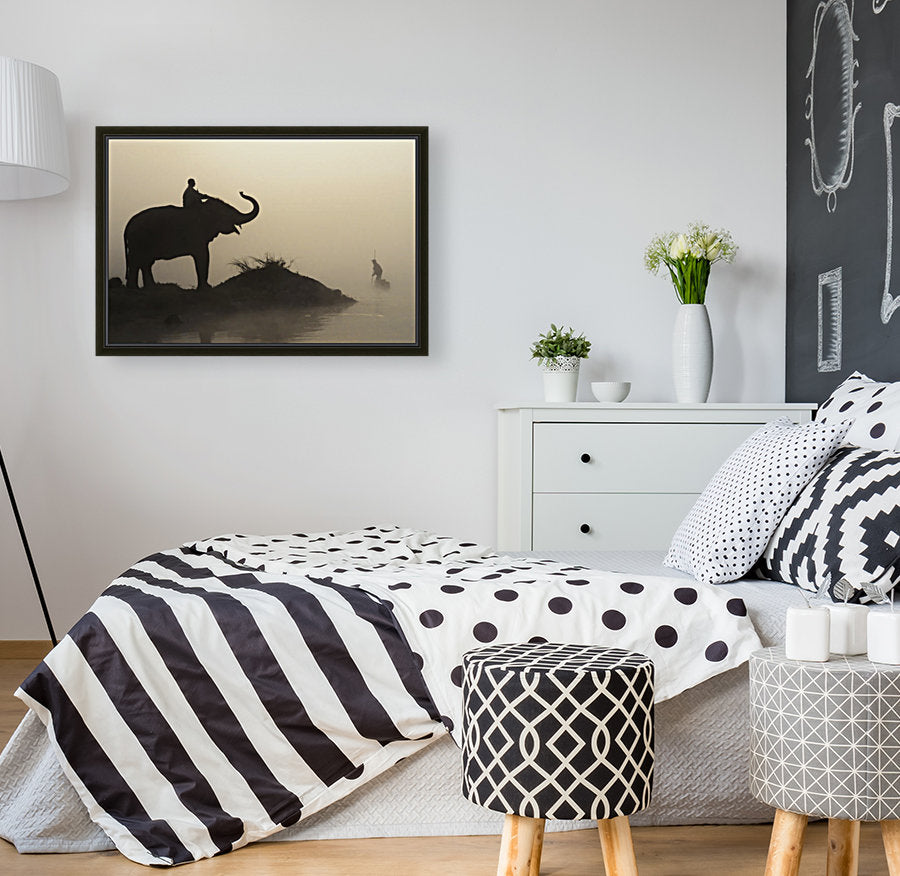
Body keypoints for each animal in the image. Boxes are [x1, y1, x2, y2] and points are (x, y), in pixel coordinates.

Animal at [123, 190, 258, 290]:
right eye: (225, 212)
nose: (241, 192)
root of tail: (128, 225)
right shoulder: (196, 235)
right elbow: (203, 256)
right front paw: (206, 288)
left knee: (145, 263)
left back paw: (150, 288)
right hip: (139, 241)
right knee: (137, 262)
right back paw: (135, 290)